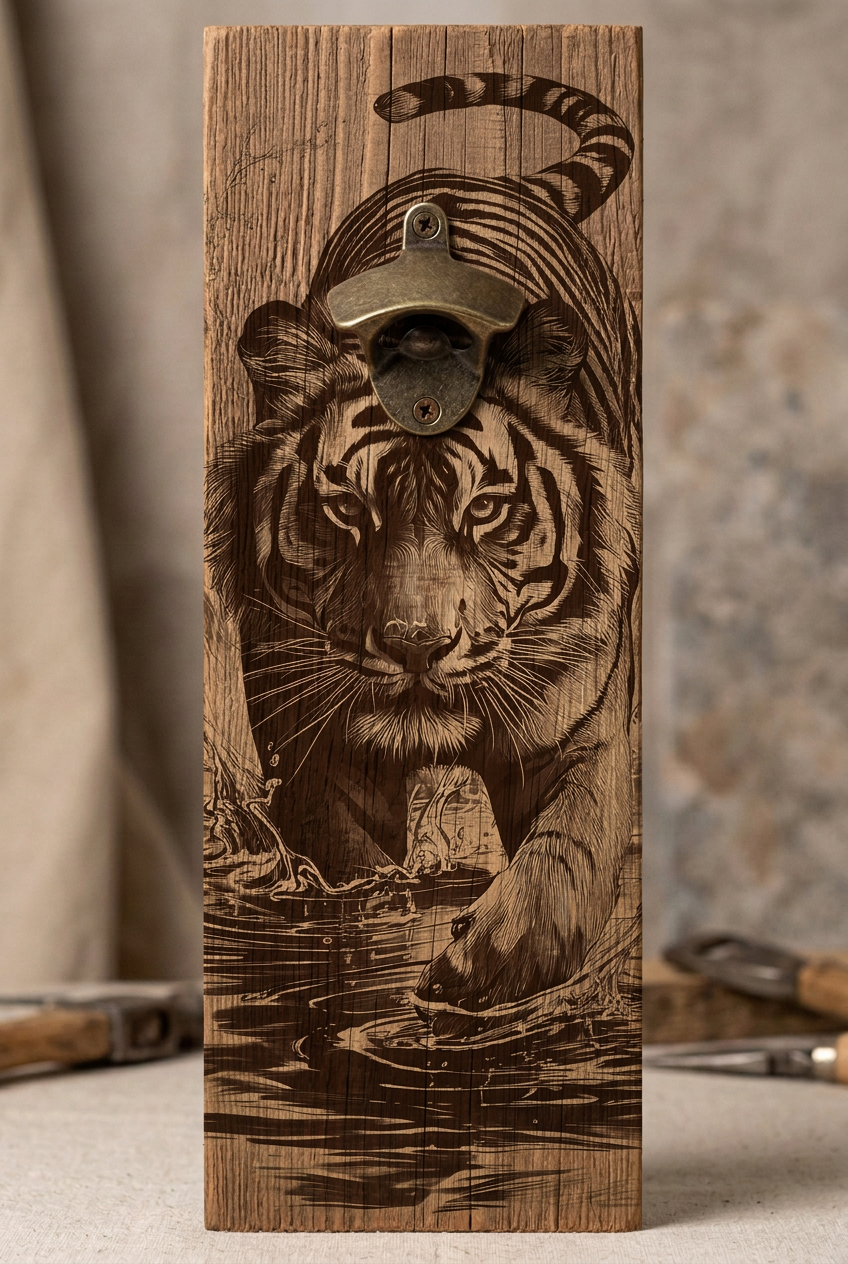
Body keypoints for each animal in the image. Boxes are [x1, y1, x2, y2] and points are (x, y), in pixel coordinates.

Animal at [206, 82, 641, 1014]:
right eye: (344, 507)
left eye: (486, 509)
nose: (414, 645)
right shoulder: (311, 742)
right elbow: (350, 857)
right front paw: (380, 922)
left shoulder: (586, 730)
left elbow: (567, 850)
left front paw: (495, 963)